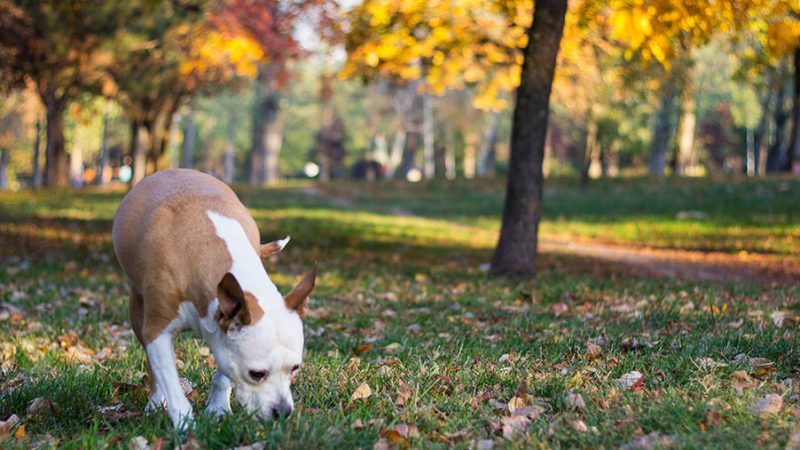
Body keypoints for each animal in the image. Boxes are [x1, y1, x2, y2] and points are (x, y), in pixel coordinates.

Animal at [111, 170, 316, 428]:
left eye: (294, 368)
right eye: (257, 374)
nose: (282, 412)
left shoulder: (225, 329)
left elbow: (223, 373)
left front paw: (218, 409)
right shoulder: (157, 333)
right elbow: (171, 384)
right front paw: (185, 426)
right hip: (138, 311)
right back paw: (155, 402)